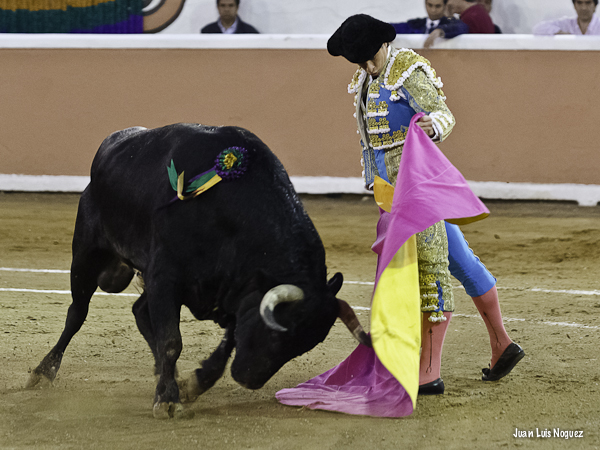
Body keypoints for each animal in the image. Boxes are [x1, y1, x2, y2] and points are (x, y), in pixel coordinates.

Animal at [27, 123, 370, 418]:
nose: (248, 379)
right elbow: (171, 341)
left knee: (139, 311)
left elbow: (226, 344)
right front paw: (168, 401)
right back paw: (43, 373)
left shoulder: (235, 291)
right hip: (86, 254)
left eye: (302, 347)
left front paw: (192, 384)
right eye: (276, 333)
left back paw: (171, 378)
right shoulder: (166, 277)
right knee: (77, 313)